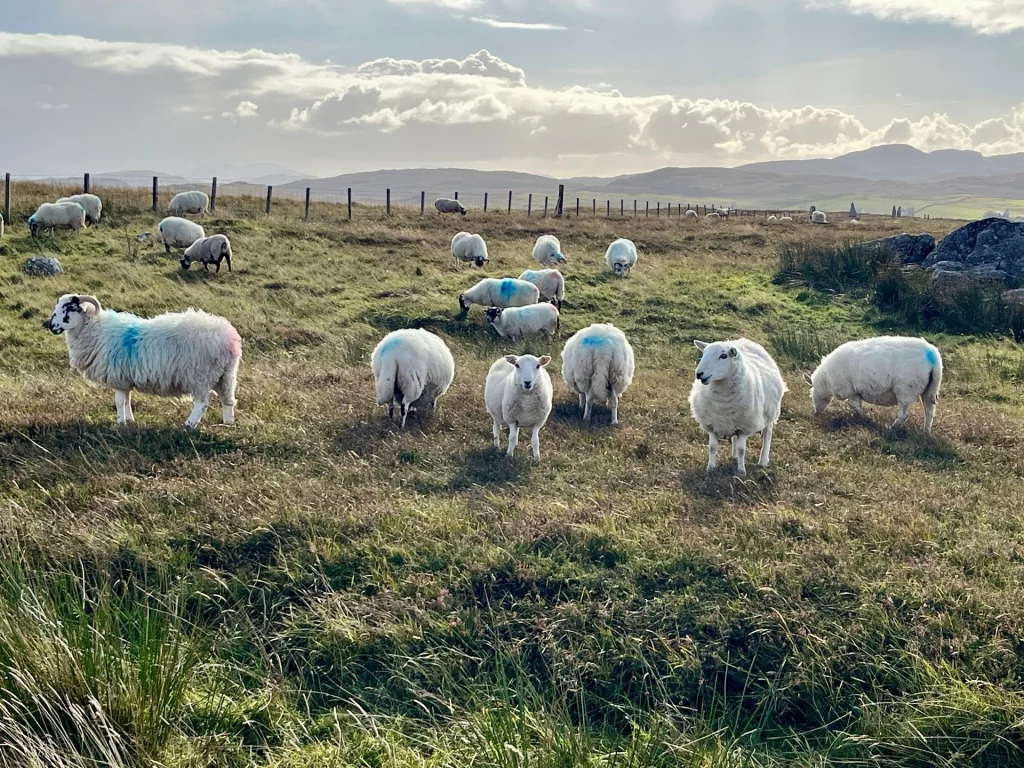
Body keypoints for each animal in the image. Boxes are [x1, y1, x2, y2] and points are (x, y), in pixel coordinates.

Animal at [45, 293, 241, 429]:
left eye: (69, 308)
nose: (51, 326)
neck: (95, 330)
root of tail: (229, 338)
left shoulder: (118, 377)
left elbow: (119, 402)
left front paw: (120, 423)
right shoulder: (125, 379)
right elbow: (127, 400)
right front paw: (130, 420)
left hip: (199, 374)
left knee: (202, 403)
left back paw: (188, 425)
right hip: (225, 375)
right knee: (228, 399)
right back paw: (228, 424)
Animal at [688, 338, 786, 476]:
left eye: (723, 356)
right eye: (703, 354)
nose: (699, 374)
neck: (722, 403)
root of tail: (745, 341)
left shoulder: (745, 427)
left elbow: (742, 450)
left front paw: (741, 471)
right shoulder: (712, 425)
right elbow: (712, 448)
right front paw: (710, 468)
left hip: (770, 414)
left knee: (767, 435)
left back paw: (763, 461)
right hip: (734, 420)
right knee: (734, 437)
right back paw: (734, 456)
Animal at [805, 336, 942, 432]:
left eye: (812, 394)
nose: (816, 413)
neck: (826, 380)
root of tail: (933, 357)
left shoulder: (850, 391)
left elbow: (855, 406)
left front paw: (862, 419)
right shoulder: (856, 392)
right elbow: (857, 405)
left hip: (906, 389)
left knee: (904, 414)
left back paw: (892, 428)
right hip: (929, 390)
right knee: (929, 411)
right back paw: (926, 431)